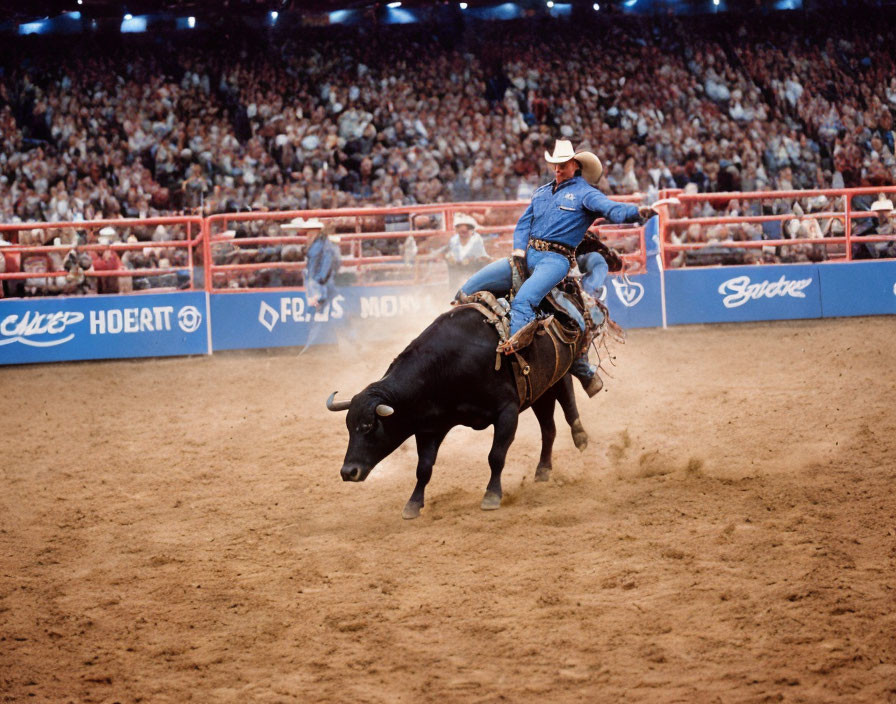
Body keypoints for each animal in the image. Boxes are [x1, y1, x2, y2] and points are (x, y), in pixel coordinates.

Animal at [326, 304, 592, 516]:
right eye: (349, 428)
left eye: (369, 427)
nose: (348, 471)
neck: (447, 365)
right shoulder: (430, 428)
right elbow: (423, 468)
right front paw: (413, 504)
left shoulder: (507, 411)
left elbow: (496, 456)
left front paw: (492, 495)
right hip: (540, 391)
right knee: (548, 429)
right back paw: (543, 470)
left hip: (558, 377)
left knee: (568, 404)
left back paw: (580, 436)